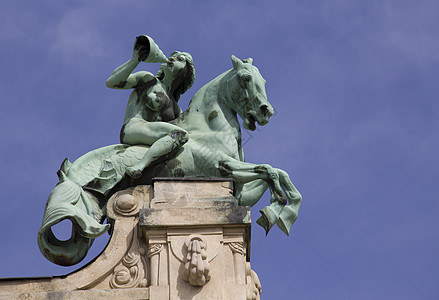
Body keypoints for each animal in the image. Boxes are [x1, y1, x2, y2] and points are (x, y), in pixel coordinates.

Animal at [37, 55, 302, 266]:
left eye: (263, 81)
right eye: (246, 78)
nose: (266, 111)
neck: (208, 128)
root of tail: (69, 175)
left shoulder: (240, 190)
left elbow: (278, 173)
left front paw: (278, 212)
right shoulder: (222, 167)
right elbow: (270, 170)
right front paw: (278, 208)